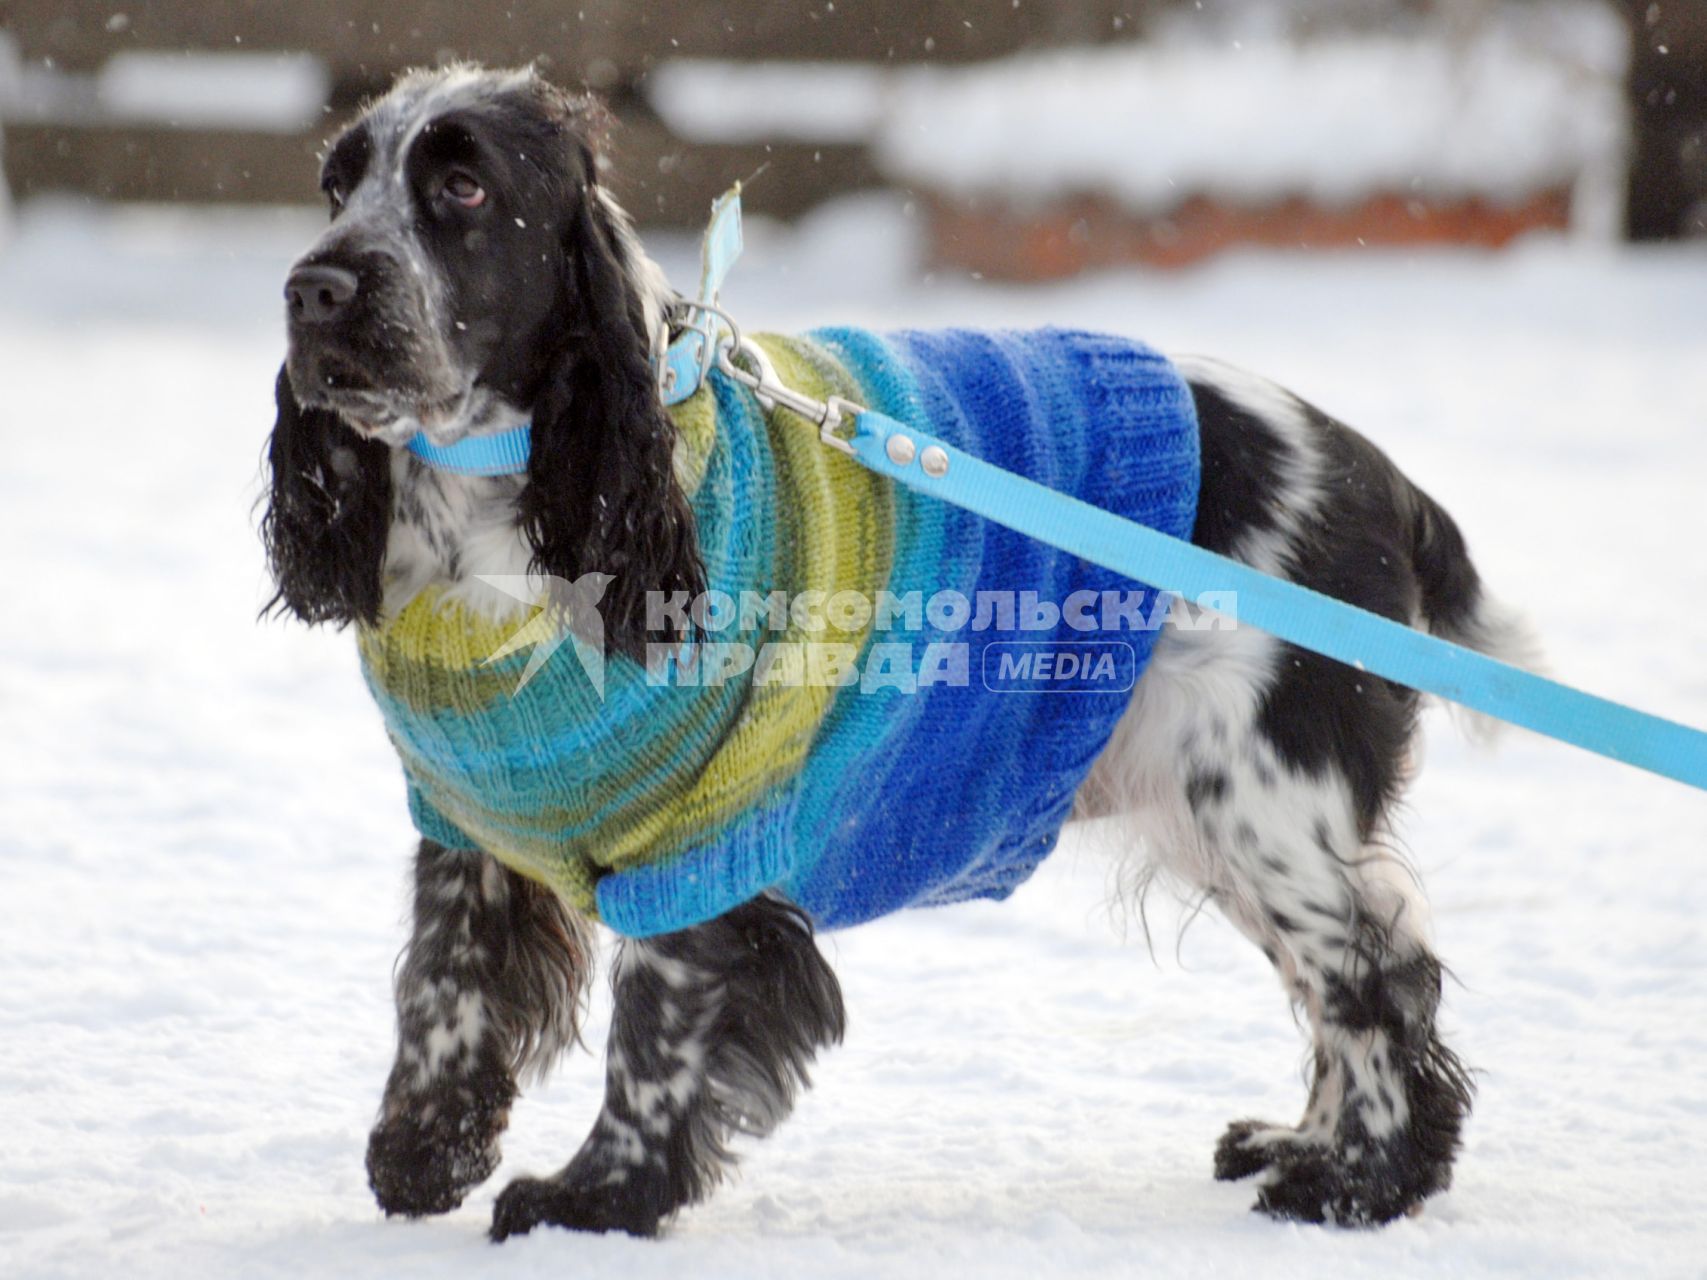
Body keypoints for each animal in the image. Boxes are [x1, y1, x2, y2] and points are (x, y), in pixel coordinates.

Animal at [262, 67, 1536, 1242]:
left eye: (463, 188)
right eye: (336, 185)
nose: (311, 288)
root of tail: (1386, 484)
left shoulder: (707, 834)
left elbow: (656, 1025)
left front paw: (594, 1198)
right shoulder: (469, 816)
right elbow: (445, 983)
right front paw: (420, 1153)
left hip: (1258, 791)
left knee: (1372, 970)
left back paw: (1352, 1183)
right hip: (1215, 805)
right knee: (1356, 962)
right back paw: (1305, 1145)